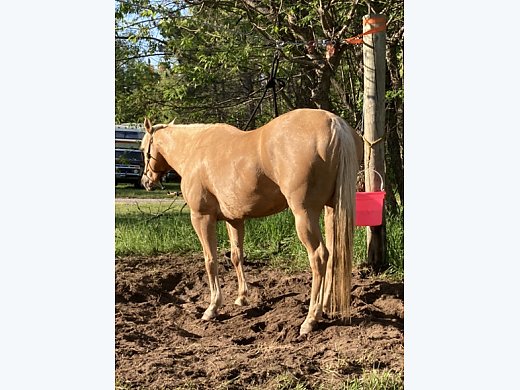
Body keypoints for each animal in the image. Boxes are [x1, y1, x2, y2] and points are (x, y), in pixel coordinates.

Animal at [140, 108, 364, 334]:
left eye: (142, 149)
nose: (145, 181)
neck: (195, 149)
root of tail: (333, 123)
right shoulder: (234, 219)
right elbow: (236, 256)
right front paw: (242, 297)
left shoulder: (201, 217)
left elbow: (210, 260)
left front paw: (212, 308)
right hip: (331, 210)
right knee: (334, 254)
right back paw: (325, 306)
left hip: (305, 214)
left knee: (319, 257)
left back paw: (310, 319)